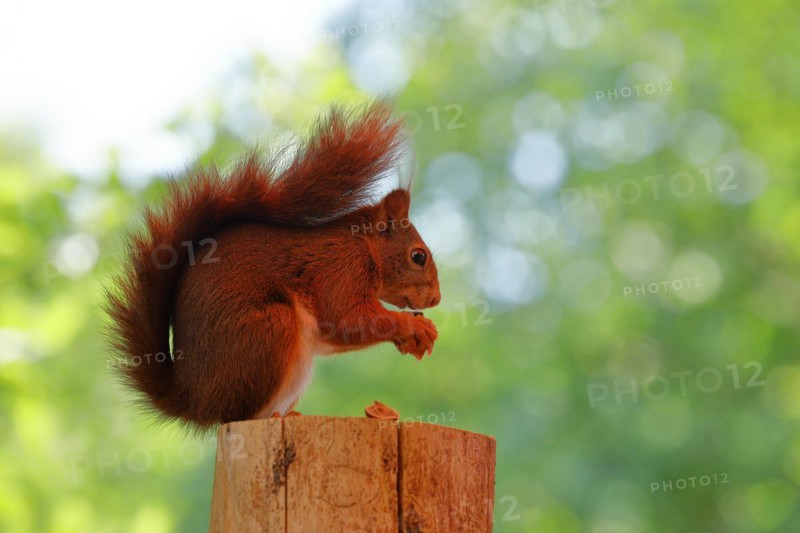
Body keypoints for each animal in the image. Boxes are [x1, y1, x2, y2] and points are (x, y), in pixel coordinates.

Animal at [106, 102, 441, 429]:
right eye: (418, 256)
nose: (436, 299)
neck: (365, 246)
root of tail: (195, 402)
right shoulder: (340, 269)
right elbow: (347, 319)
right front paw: (413, 326)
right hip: (270, 329)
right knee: (237, 414)